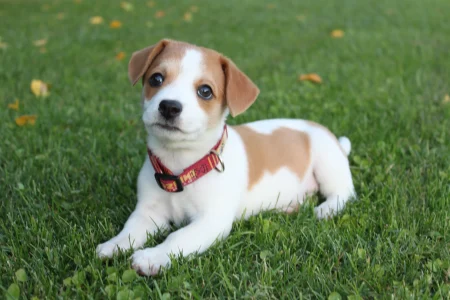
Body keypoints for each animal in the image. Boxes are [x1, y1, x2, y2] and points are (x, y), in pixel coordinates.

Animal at [96, 39, 356, 276]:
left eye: (205, 91)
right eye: (156, 79)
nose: (169, 106)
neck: (182, 166)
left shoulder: (212, 221)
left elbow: (178, 236)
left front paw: (152, 257)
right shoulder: (149, 211)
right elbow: (132, 228)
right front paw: (114, 245)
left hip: (327, 163)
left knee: (344, 192)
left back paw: (326, 209)